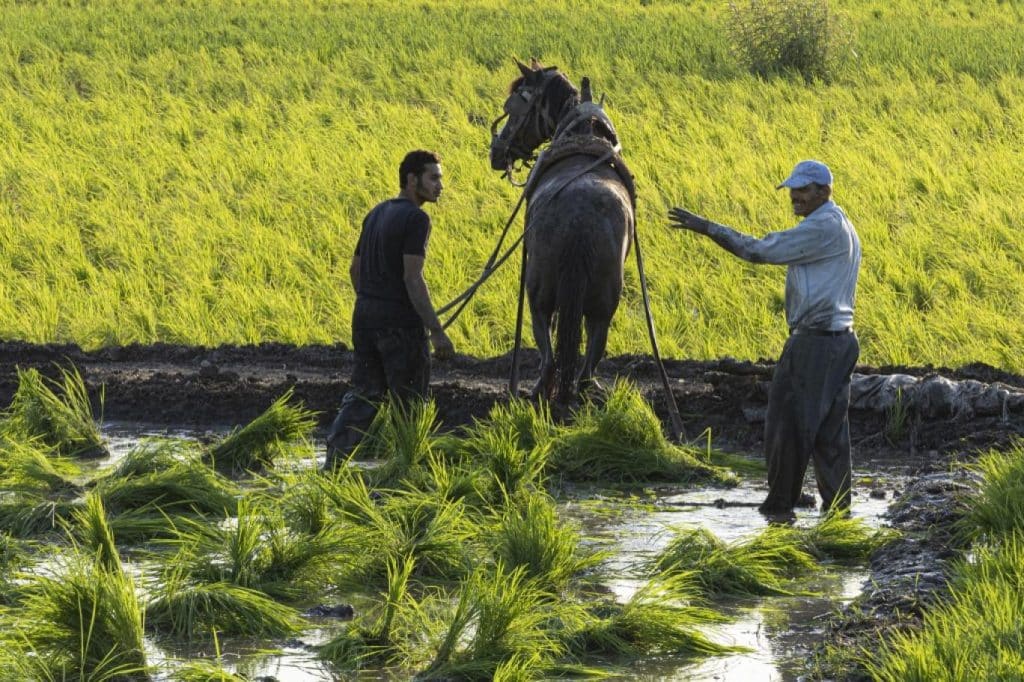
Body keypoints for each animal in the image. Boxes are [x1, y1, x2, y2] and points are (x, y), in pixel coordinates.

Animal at [487, 59, 630, 403]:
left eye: (513, 106)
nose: (496, 151)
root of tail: (578, 215)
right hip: (601, 300)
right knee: (589, 348)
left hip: (540, 295)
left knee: (552, 350)